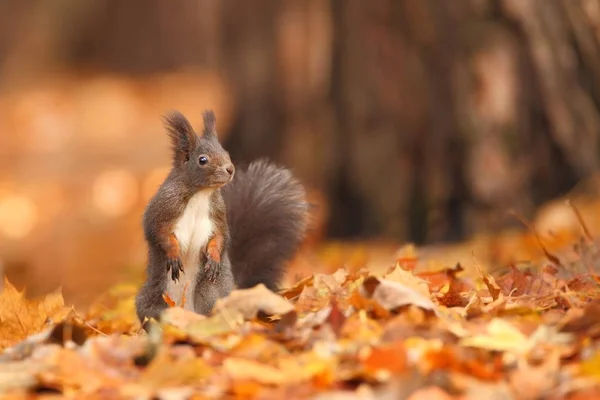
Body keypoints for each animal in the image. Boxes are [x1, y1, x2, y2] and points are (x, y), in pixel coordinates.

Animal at [134, 109, 308, 322]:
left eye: (226, 153)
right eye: (202, 160)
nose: (230, 169)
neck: (201, 194)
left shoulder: (218, 215)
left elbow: (221, 236)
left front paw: (215, 257)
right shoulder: (162, 208)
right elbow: (158, 232)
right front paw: (174, 253)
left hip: (210, 290)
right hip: (152, 297)